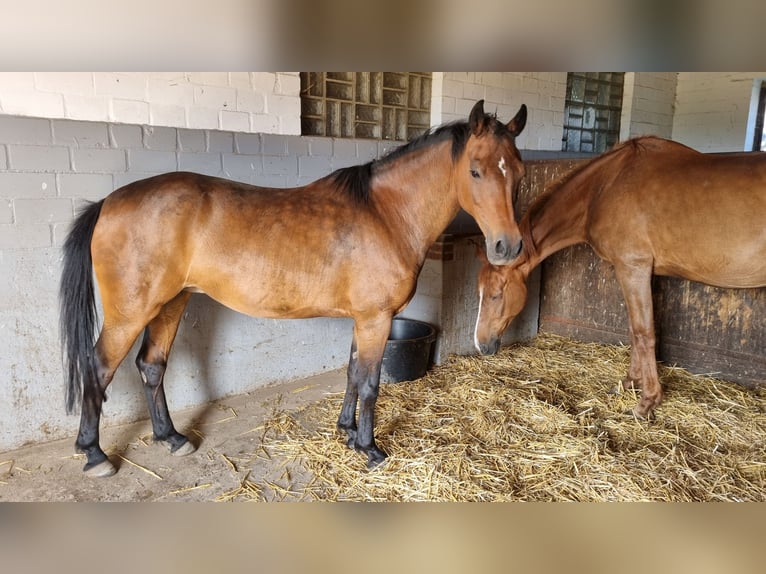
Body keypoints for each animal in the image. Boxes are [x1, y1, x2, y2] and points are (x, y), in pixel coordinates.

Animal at [60, 99, 532, 476]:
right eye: (475, 171)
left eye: (519, 172)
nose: (507, 247)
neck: (386, 213)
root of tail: (108, 203)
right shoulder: (376, 319)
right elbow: (370, 383)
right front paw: (369, 448)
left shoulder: (363, 319)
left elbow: (352, 372)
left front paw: (346, 431)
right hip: (131, 313)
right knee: (99, 367)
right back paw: (94, 454)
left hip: (171, 304)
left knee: (152, 365)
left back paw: (171, 438)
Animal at [474, 137, 766, 420]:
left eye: (496, 294)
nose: (481, 345)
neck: (603, 189)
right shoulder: (646, 272)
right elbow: (636, 329)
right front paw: (630, 382)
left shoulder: (632, 268)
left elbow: (643, 332)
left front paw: (646, 402)